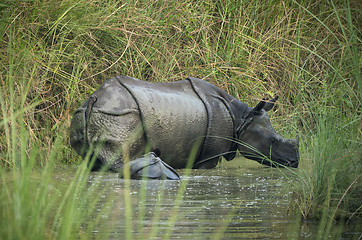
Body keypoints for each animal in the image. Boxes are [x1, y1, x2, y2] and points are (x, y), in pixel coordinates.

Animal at [70, 76, 300, 173]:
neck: (241, 119)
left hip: (90, 114)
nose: (294, 162)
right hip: (120, 116)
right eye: (273, 141)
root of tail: (94, 98)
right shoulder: (209, 156)